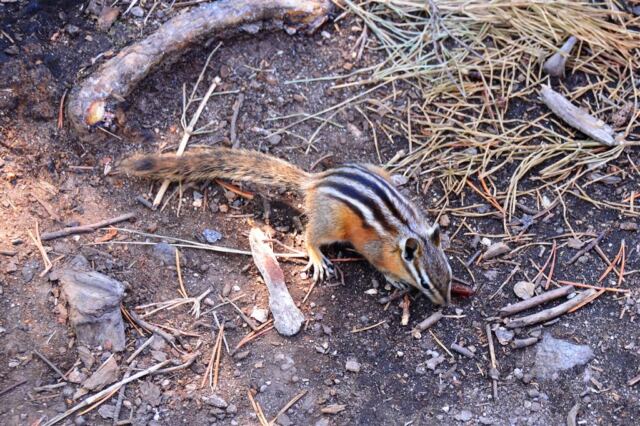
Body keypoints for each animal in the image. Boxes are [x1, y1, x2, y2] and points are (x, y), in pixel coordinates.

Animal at [120, 147, 452, 305]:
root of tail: (317, 181)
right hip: (332, 223)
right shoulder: (374, 248)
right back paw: (317, 257)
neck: (407, 233)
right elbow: (378, 264)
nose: (444, 304)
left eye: (449, 276)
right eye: (425, 284)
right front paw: (393, 278)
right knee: (310, 235)